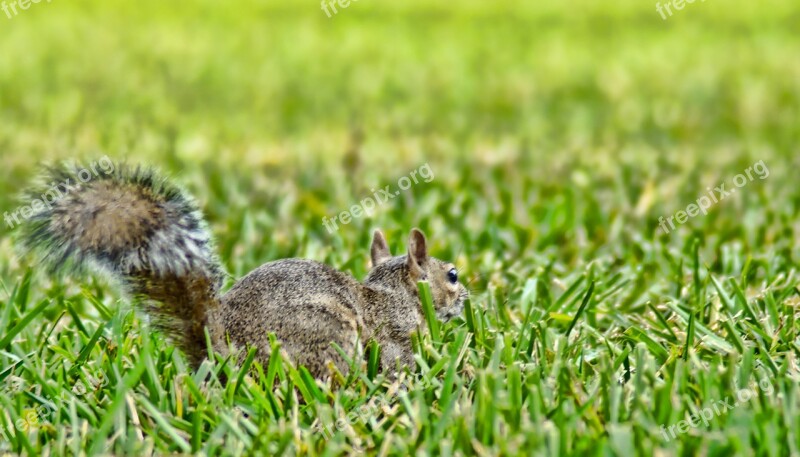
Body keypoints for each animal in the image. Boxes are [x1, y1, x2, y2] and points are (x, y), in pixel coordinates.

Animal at [18, 162, 468, 380]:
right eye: (453, 275)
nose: (466, 299)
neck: (398, 295)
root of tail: (221, 352)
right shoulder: (395, 337)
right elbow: (399, 363)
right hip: (328, 334)